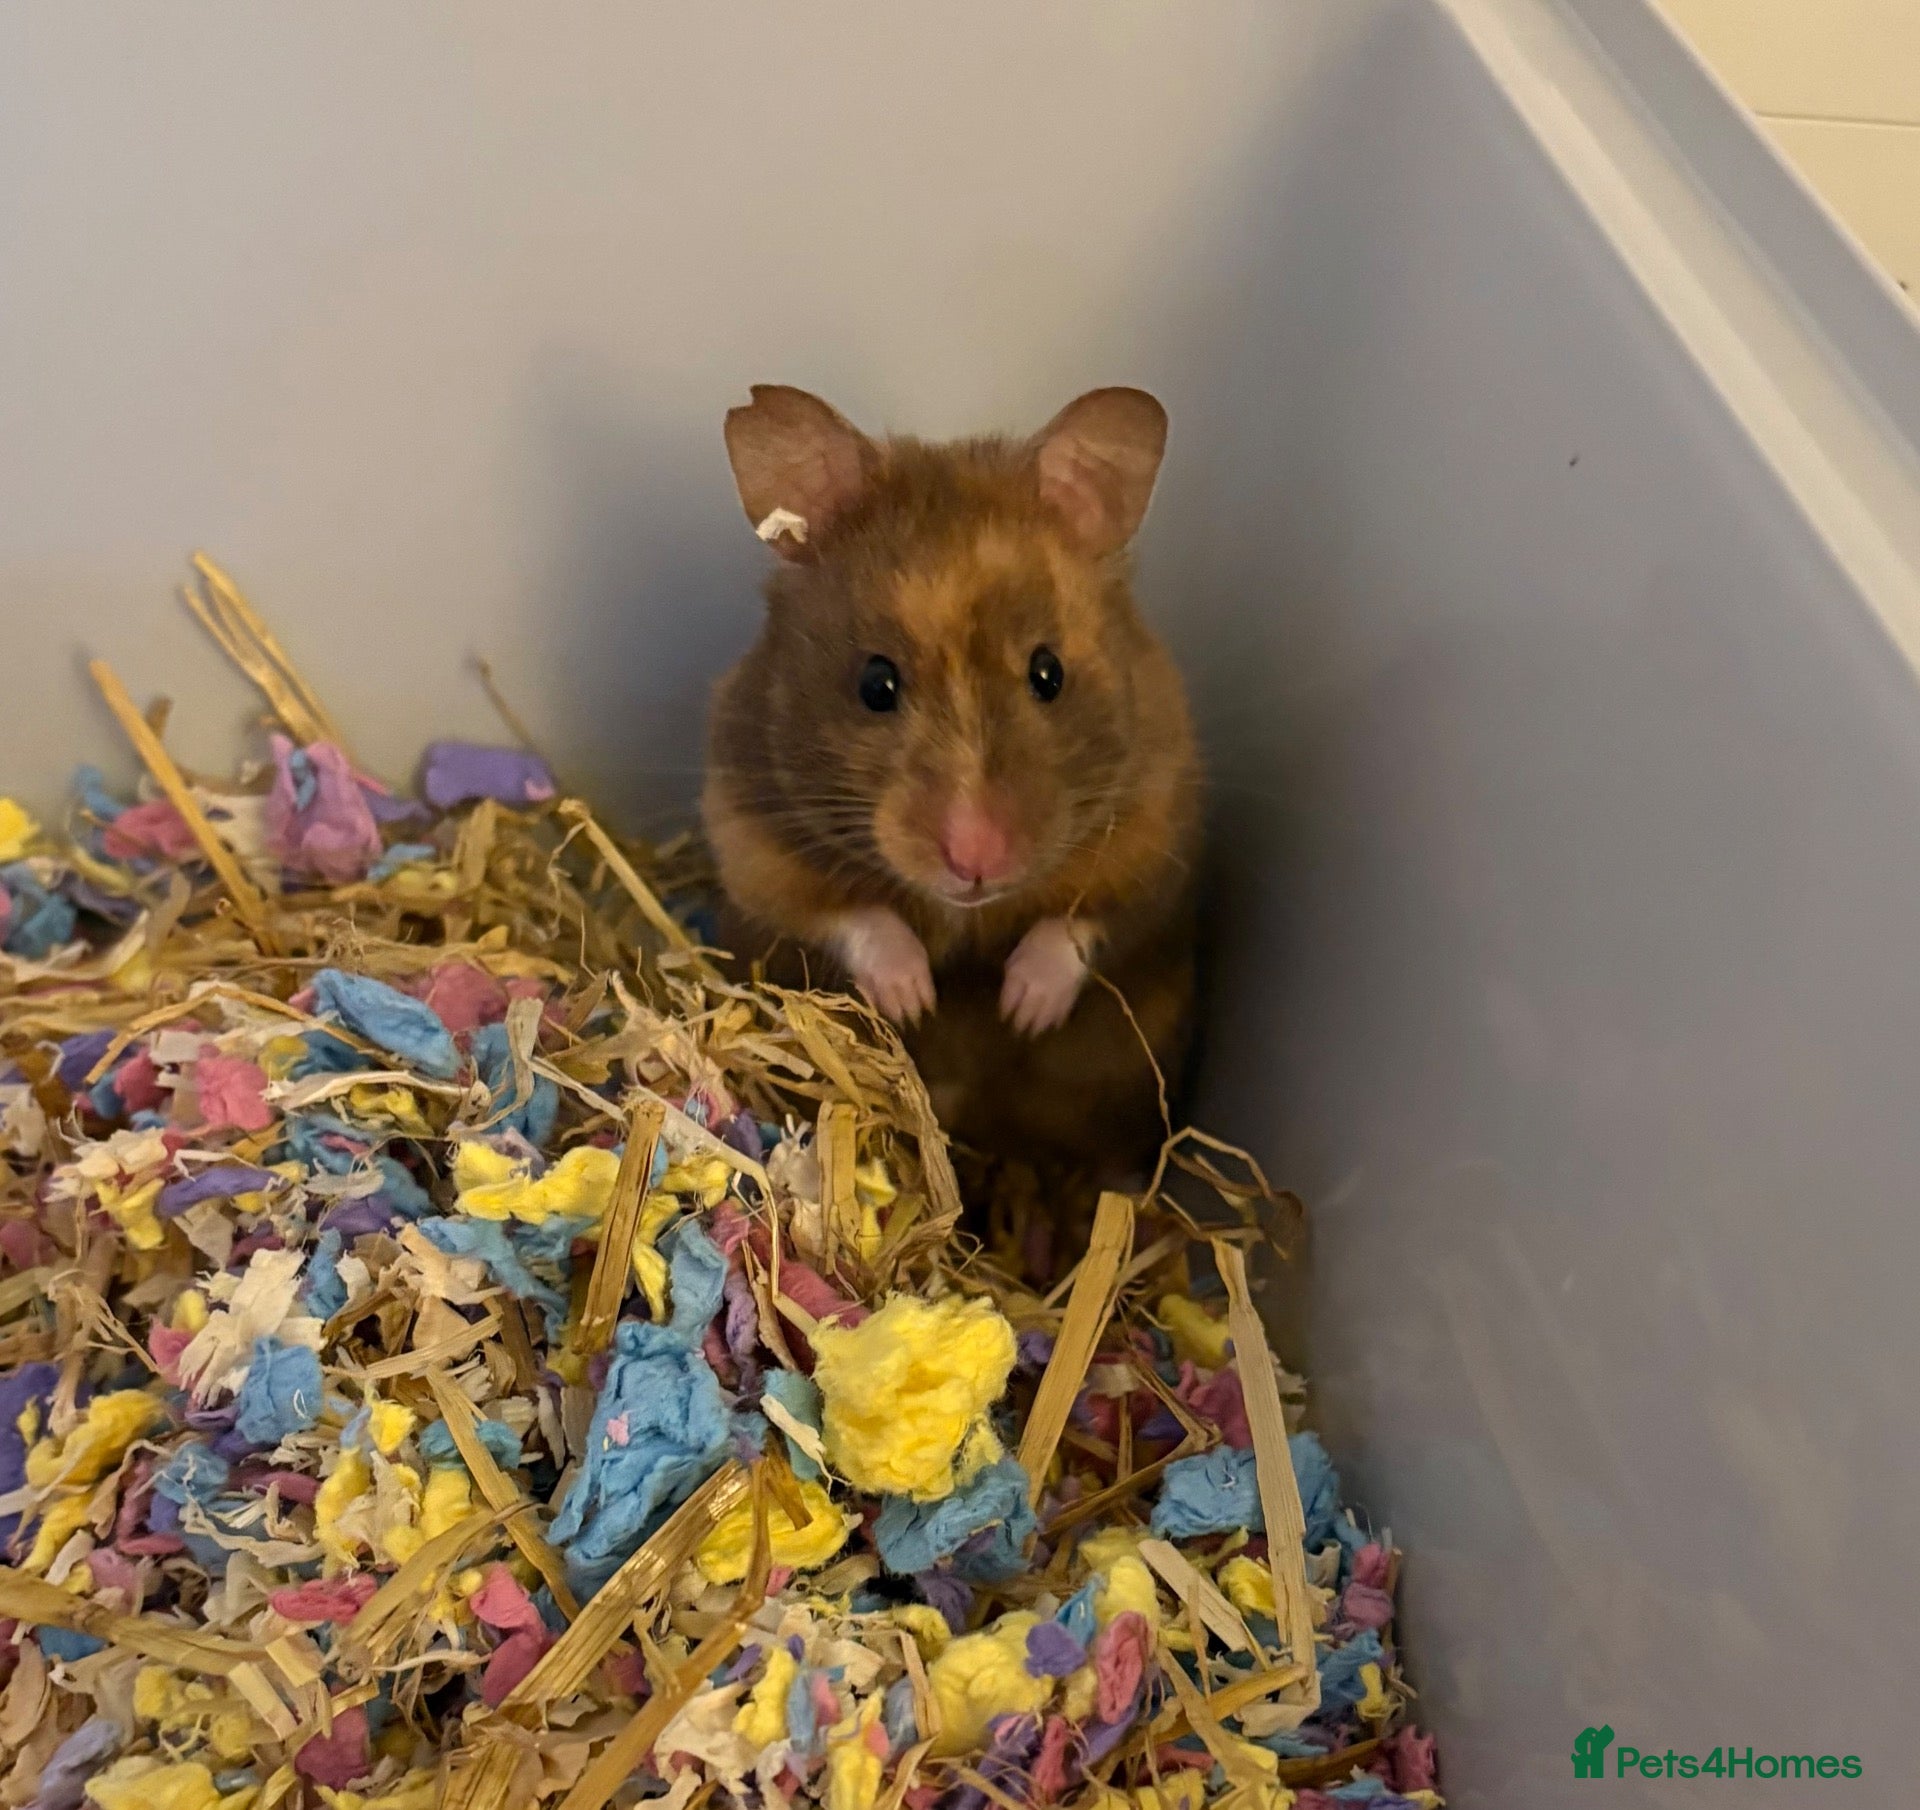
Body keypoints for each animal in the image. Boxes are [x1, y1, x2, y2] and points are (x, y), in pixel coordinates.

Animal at [703, 385, 1199, 1176]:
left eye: (1049, 672)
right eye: (875, 683)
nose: (975, 861)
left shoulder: (1159, 838)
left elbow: (1082, 924)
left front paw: (1020, 1010)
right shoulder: (748, 835)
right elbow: (849, 914)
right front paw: (917, 1001)